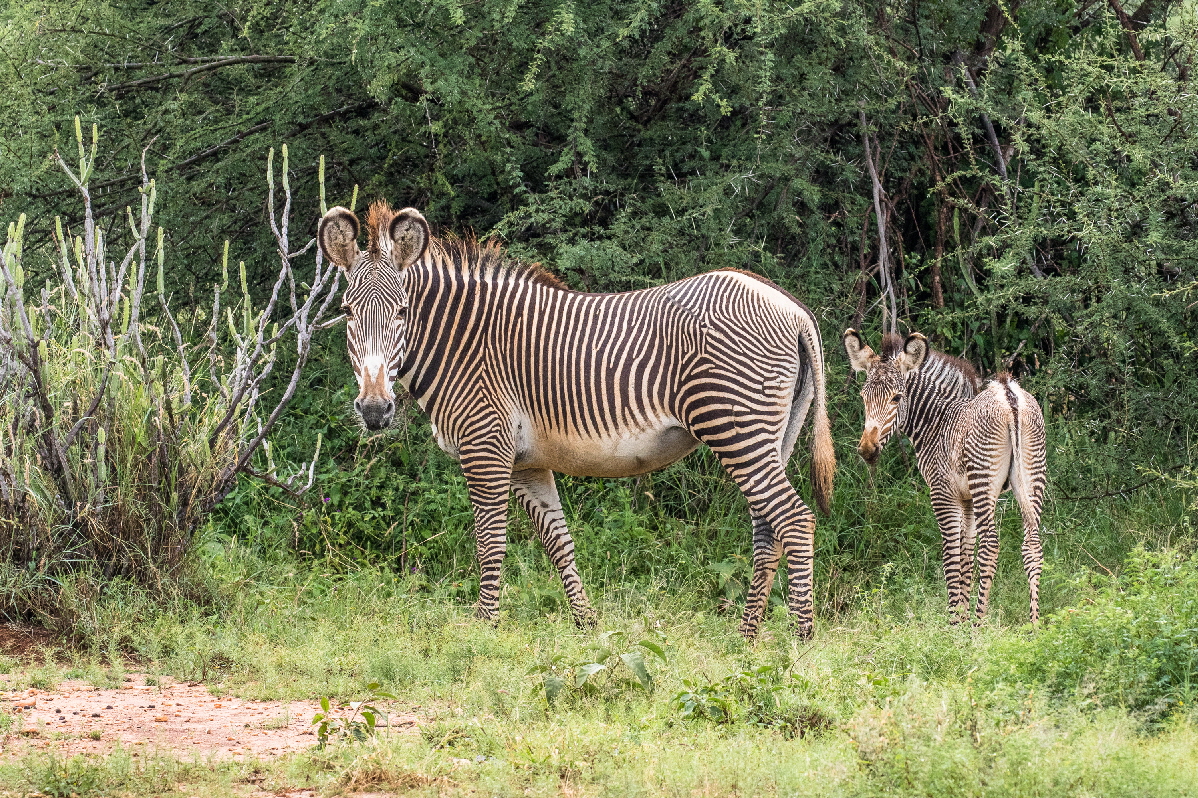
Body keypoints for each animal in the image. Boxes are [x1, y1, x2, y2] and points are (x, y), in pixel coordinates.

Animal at [323, 202, 838, 637]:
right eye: (347, 312)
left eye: (402, 312)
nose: (374, 410)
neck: (462, 341)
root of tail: (791, 308)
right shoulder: (527, 462)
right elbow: (558, 542)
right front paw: (587, 625)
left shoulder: (485, 448)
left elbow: (490, 543)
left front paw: (483, 630)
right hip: (772, 434)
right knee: (768, 528)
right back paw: (748, 639)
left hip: (735, 428)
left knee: (793, 519)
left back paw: (800, 643)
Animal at [843, 328, 1049, 623]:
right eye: (863, 397)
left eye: (896, 398)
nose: (867, 451)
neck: (937, 421)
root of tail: (1009, 394)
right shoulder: (967, 499)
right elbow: (965, 554)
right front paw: (961, 617)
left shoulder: (943, 494)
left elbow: (951, 556)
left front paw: (955, 622)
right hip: (1032, 475)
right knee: (1032, 545)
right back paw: (1033, 625)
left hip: (985, 480)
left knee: (990, 546)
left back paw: (979, 624)